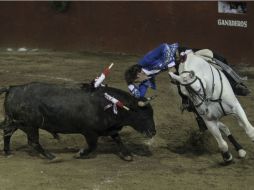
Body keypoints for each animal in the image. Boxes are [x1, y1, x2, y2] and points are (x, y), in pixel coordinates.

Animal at [0, 82, 156, 161]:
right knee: (32, 141)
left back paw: (7, 152)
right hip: (31, 125)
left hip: (18, 123)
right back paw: (51, 156)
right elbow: (93, 146)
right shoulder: (90, 132)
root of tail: (12, 88)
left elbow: (118, 139)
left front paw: (127, 155)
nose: (153, 132)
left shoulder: (110, 129)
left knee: (8, 133)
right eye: (144, 116)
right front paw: (79, 154)